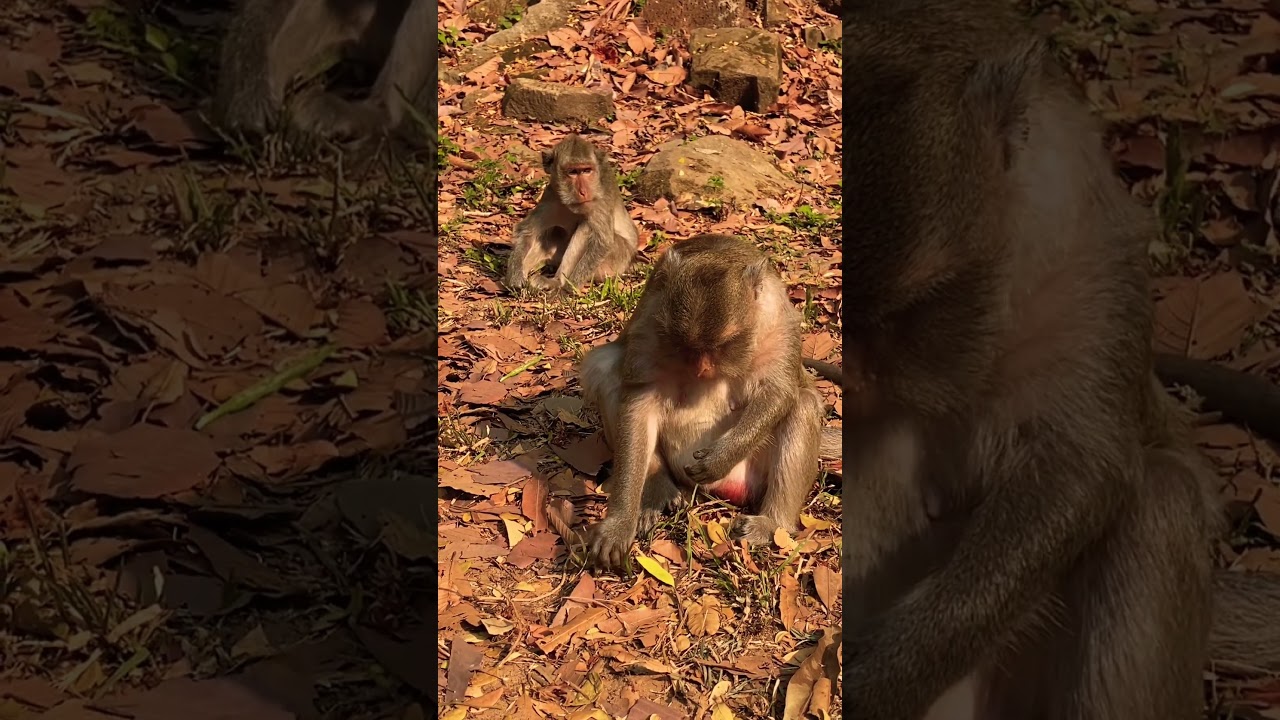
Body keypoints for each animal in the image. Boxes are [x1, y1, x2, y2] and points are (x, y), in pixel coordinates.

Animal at [505, 135, 640, 295]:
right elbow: (527, 230)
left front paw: (568, 288)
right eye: (573, 172)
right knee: (554, 231)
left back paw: (557, 282)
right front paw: (515, 275)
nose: (583, 192)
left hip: (616, 260)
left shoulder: (600, 198)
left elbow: (603, 242)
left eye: (587, 170)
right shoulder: (551, 196)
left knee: (586, 227)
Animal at [575, 234, 832, 569]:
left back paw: (772, 523)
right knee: (605, 367)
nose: (703, 369)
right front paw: (619, 523)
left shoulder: (776, 317)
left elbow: (780, 390)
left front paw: (721, 456)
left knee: (803, 405)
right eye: (685, 344)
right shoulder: (652, 317)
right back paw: (657, 487)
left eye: (725, 344)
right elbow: (641, 401)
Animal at [836, 2, 1280, 718]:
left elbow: (1079, 466)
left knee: (1160, 500)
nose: (852, 380)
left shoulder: (1084, 260)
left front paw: (875, 686)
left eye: (921, 305)